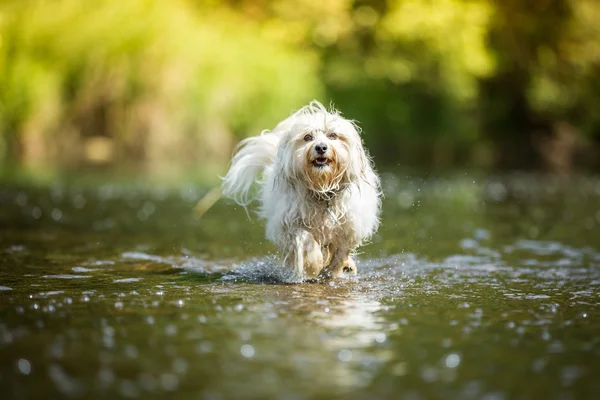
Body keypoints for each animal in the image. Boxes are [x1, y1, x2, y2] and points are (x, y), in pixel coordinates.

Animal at [223, 101, 382, 280]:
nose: (321, 147)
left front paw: (333, 271)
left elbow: (340, 253)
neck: (321, 190)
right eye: (308, 137)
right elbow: (306, 240)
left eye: (333, 135)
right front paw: (313, 266)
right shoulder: (289, 223)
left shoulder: (349, 227)